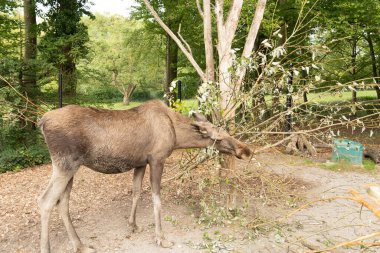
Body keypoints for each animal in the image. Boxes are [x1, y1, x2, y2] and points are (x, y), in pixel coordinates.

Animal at [37, 100, 252, 252]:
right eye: (220, 138)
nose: (246, 150)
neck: (177, 137)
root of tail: (42, 122)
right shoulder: (157, 159)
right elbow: (156, 199)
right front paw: (161, 238)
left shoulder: (140, 162)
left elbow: (136, 191)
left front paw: (133, 225)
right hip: (64, 164)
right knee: (46, 200)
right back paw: (48, 248)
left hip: (72, 167)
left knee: (62, 202)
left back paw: (80, 245)